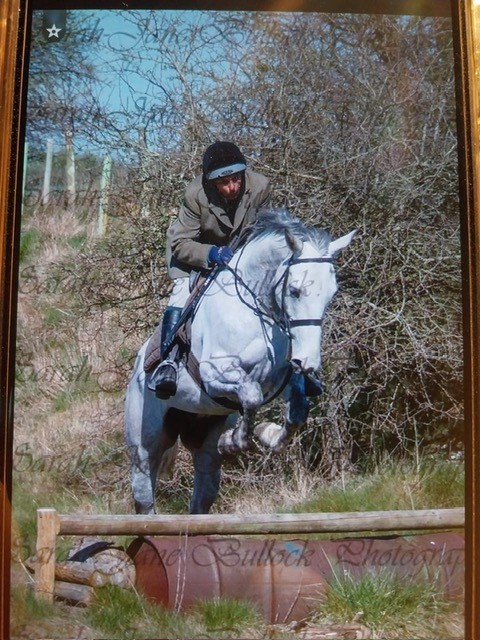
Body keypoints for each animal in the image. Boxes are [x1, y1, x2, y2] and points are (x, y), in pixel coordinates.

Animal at [124, 209, 355, 514]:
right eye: (294, 290)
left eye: (332, 293)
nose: (308, 363)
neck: (255, 309)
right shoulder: (215, 374)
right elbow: (252, 395)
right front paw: (236, 440)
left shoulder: (283, 378)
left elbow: (296, 411)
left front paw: (264, 433)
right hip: (144, 447)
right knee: (145, 498)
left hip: (203, 442)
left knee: (202, 496)